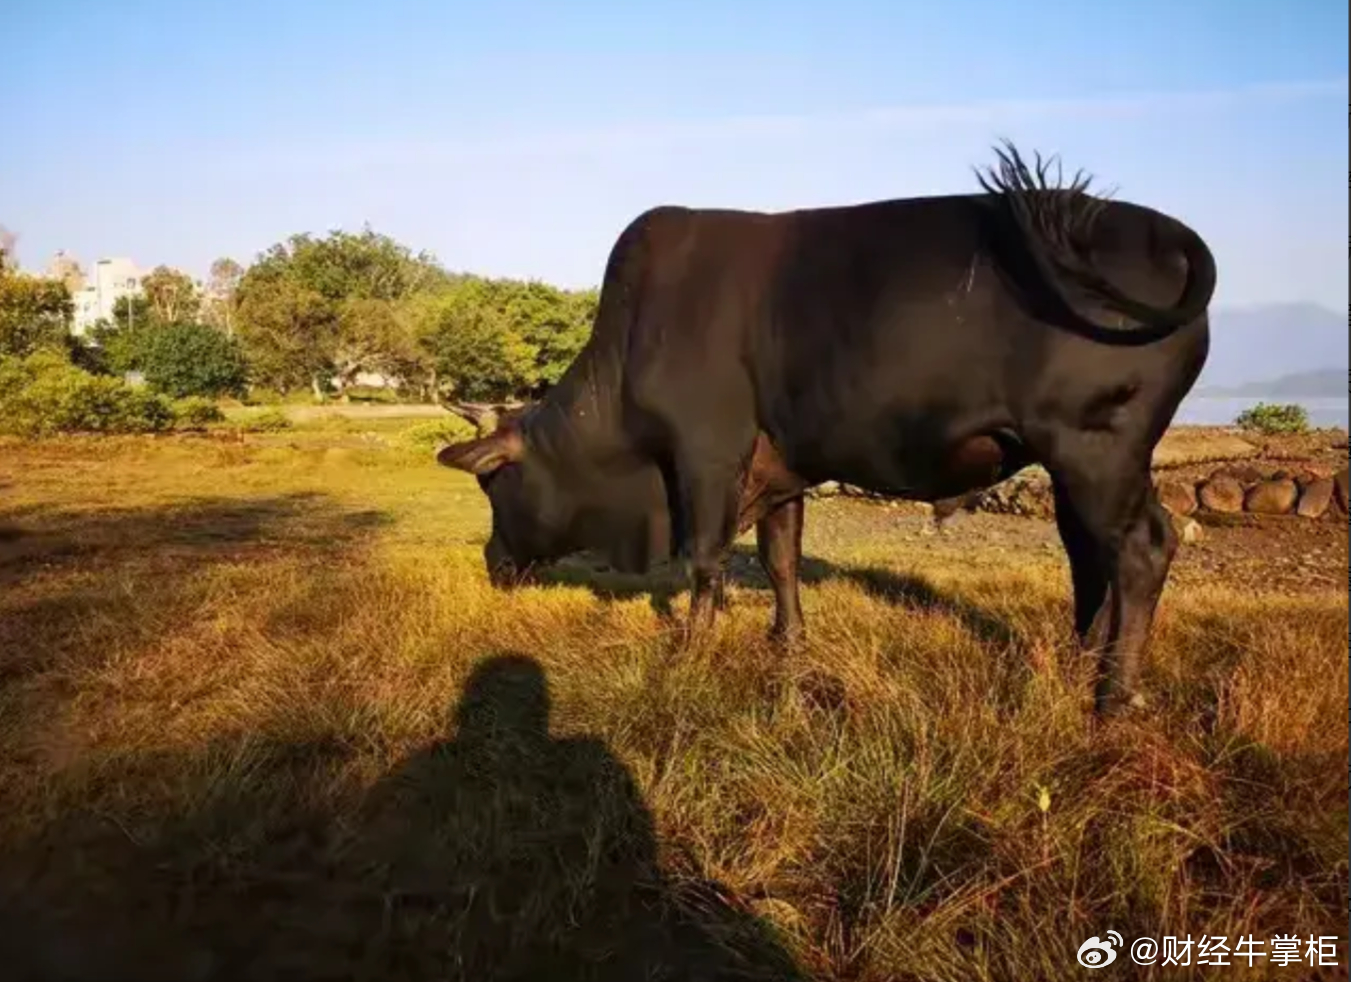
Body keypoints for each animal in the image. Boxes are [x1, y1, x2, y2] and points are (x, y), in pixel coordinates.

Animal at [440, 143, 1215, 713]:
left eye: (494, 486)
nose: (491, 563)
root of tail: (1161, 229)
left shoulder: (706, 455)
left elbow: (704, 559)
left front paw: (689, 651)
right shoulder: (778, 468)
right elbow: (779, 558)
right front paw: (786, 643)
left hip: (1095, 449)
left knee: (1140, 548)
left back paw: (1112, 696)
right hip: (1080, 464)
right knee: (1093, 556)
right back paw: (1082, 663)